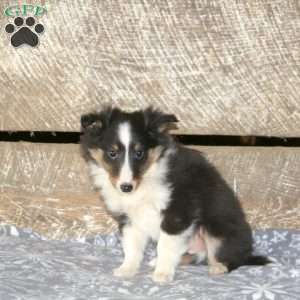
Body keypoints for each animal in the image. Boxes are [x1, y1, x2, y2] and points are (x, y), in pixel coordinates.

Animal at [80, 106, 270, 282]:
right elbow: (132, 246)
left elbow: (165, 245)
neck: (146, 177)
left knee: (231, 257)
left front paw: (162, 274)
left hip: (216, 231)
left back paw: (218, 267)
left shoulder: (178, 213)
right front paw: (127, 269)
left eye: (139, 153)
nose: (126, 187)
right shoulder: (129, 218)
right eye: (112, 153)